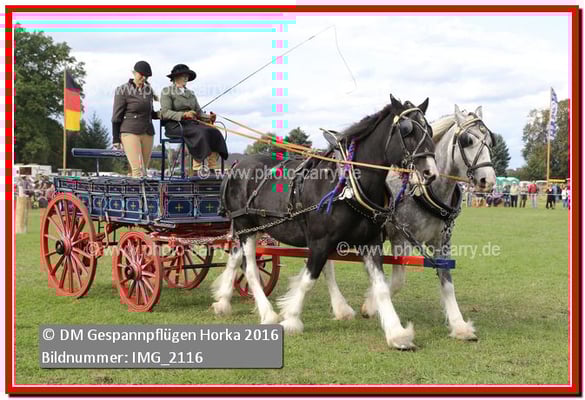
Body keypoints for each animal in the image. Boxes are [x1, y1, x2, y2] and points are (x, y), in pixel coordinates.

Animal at [212, 95, 438, 349]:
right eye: (407, 130)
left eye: (429, 130)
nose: (431, 173)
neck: (348, 184)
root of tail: (237, 166)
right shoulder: (320, 241)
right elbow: (308, 279)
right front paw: (291, 318)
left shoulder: (370, 242)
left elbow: (380, 287)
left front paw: (397, 334)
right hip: (245, 227)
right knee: (250, 268)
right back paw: (268, 313)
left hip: (257, 228)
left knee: (235, 257)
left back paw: (222, 302)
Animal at [323, 104, 497, 342]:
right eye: (467, 140)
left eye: (490, 140)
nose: (488, 180)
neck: (425, 191)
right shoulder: (400, 239)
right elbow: (397, 281)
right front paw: (371, 306)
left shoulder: (442, 242)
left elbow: (447, 281)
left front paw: (459, 325)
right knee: (326, 265)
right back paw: (341, 308)